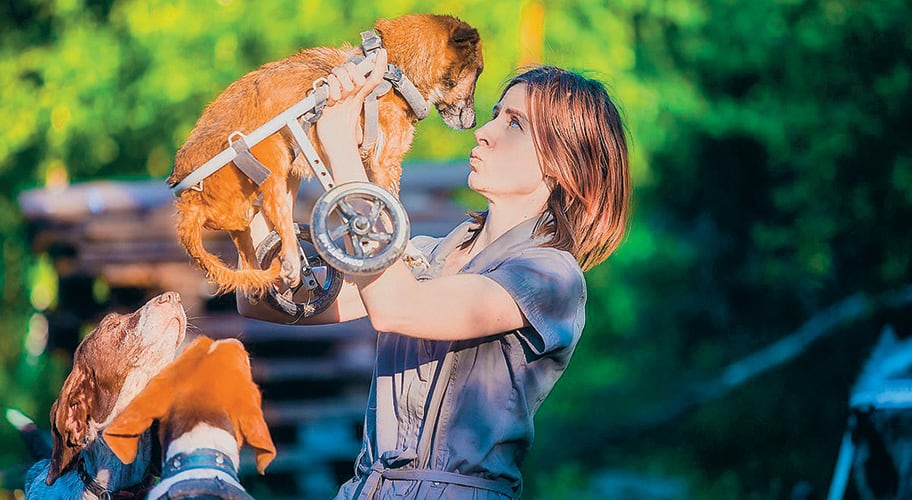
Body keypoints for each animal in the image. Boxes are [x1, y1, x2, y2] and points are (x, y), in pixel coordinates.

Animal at [169, 13, 484, 298]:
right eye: (478, 72)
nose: (473, 124)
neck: (392, 67)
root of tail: (190, 202)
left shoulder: (370, 165)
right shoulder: (385, 164)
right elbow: (391, 212)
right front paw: (406, 250)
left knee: (250, 259)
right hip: (275, 151)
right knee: (273, 209)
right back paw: (292, 262)